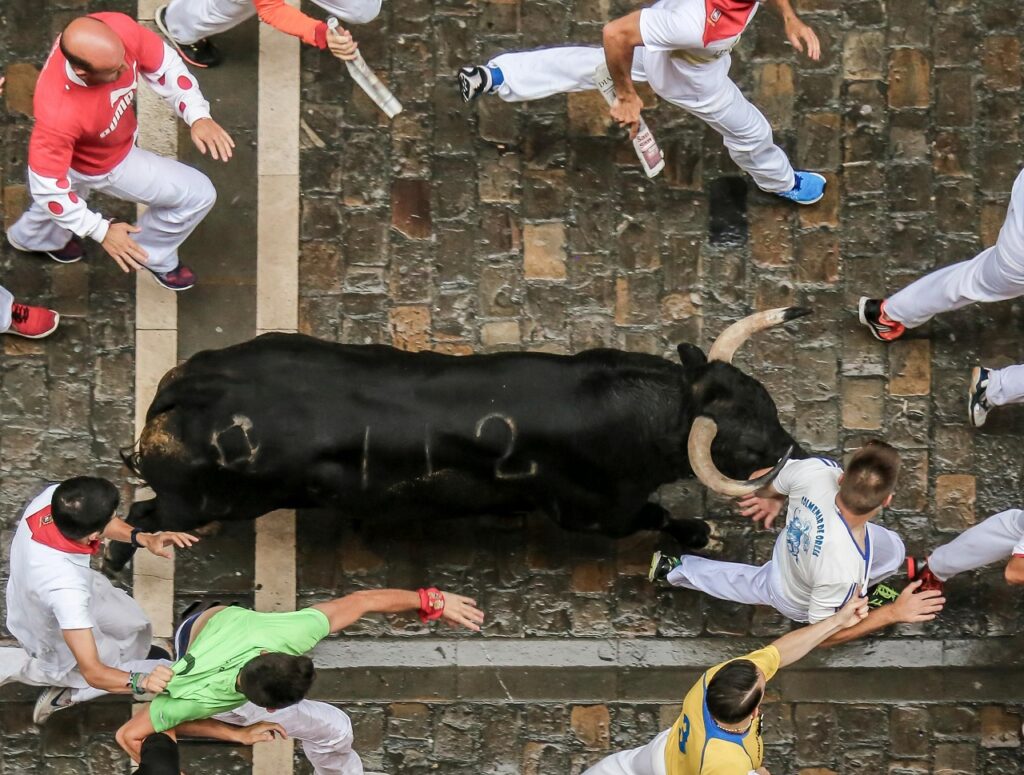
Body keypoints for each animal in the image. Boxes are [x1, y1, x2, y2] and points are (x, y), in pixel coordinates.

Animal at [108, 307, 811, 569]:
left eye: (766, 399)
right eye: (748, 449)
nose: (798, 452)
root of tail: (185, 390)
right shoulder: (593, 514)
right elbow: (658, 516)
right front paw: (701, 532)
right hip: (202, 503)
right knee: (140, 516)